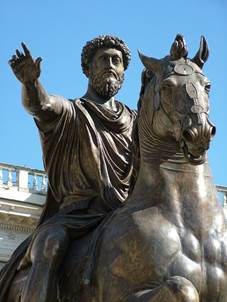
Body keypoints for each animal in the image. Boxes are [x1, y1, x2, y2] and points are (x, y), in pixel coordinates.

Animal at [4, 35, 227, 302]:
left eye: (207, 85)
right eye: (167, 86)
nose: (199, 132)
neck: (191, 223)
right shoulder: (123, 294)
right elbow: (183, 287)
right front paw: (28, 73)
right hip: (48, 237)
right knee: (51, 245)